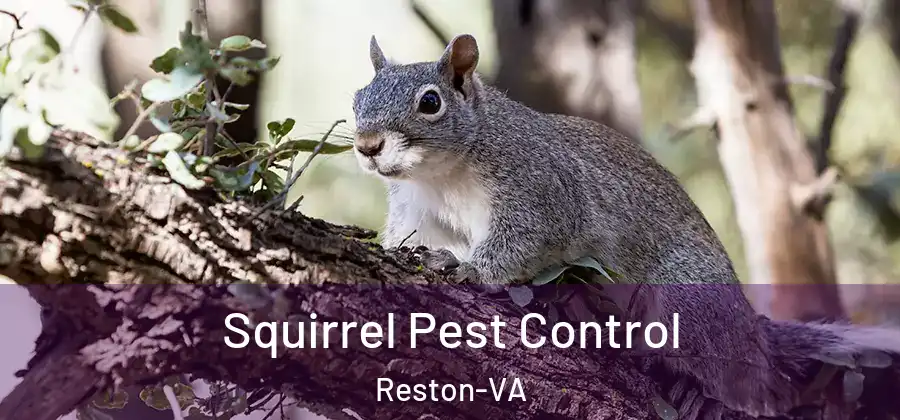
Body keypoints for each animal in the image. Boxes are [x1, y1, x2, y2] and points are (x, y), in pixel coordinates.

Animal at [351, 34, 900, 418]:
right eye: (358, 97)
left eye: (430, 103)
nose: (366, 145)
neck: (442, 173)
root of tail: (750, 332)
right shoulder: (418, 211)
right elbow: (410, 238)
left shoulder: (542, 190)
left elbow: (523, 241)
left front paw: (468, 269)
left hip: (687, 301)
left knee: (746, 383)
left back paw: (704, 392)